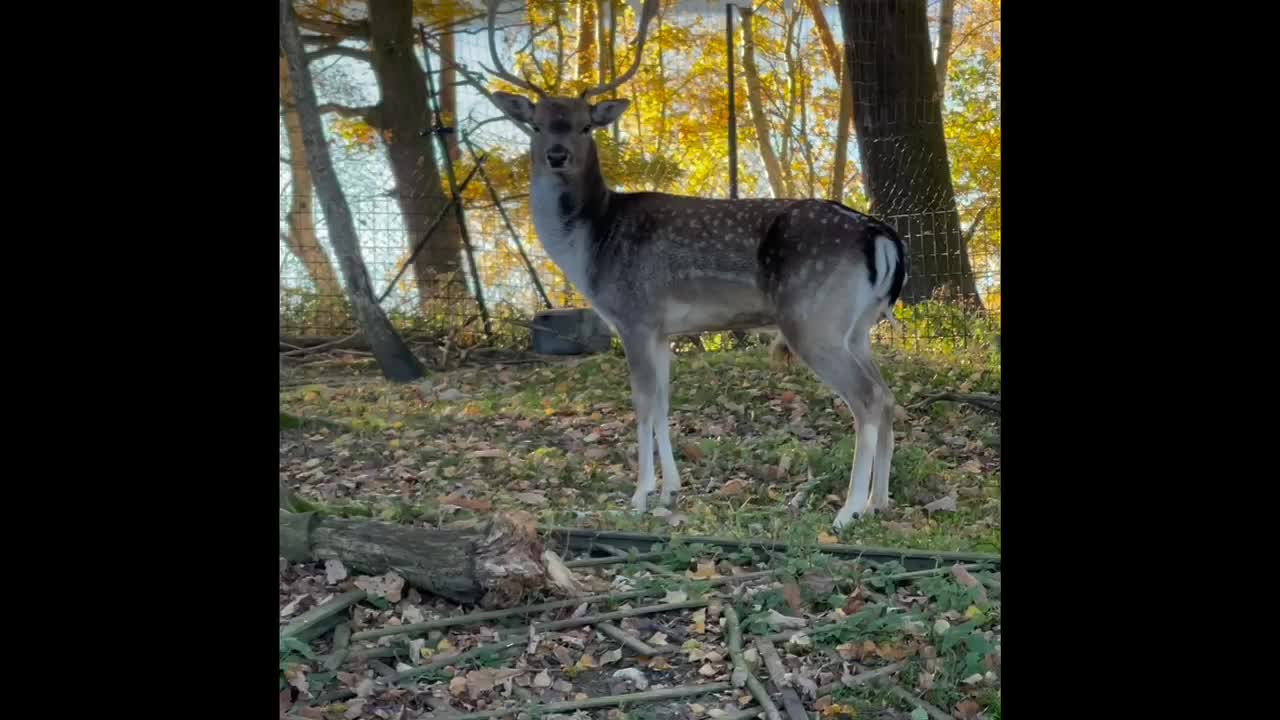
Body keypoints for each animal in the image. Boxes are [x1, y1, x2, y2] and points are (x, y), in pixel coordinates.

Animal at [482, 0, 906, 529]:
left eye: (585, 125)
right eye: (537, 124)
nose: (557, 155)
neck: (592, 242)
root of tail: (880, 235)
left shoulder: (635, 316)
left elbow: (643, 405)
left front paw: (639, 496)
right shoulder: (664, 331)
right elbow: (664, 405)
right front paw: (670, 491)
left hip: (813, 321)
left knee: (866, 399)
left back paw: (847, 510)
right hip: (858, 327)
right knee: (886, 396)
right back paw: (878, 500)